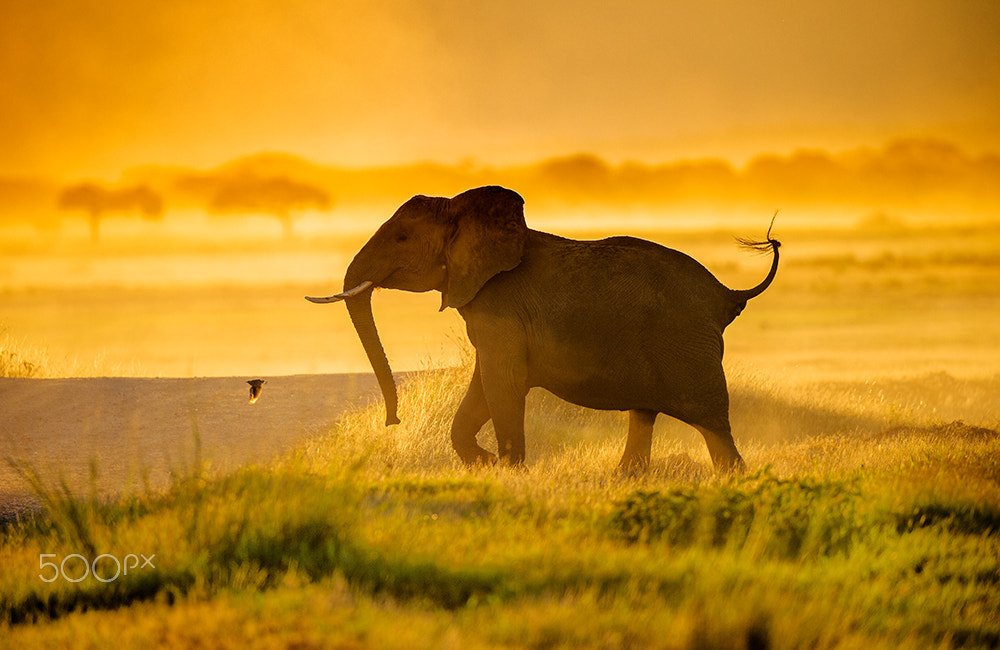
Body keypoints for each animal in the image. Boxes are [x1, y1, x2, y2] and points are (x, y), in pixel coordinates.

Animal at [306, 184, 780, 470]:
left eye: (402, 239)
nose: (393, 421)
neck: (465, 211)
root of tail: (726, 295)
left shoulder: (501, 309)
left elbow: (503, 385)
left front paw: (508, 468)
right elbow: (484, 387)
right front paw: (489, 464)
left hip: (686, 342)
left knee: (712, 423)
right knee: (644, 414)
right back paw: (624, 480)